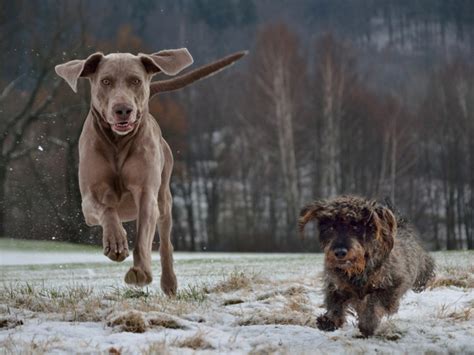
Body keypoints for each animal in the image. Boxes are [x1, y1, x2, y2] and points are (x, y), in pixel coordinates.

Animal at [56, 49, 246, 294]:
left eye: (135, 81)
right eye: (105, 81)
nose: (123, 109)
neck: (117, 142)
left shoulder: (147, 193)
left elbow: (144, 237)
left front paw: (141, 272)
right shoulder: (89, 200)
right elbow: (106, 209)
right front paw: (116, 242)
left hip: (165, 198)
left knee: (165, 242)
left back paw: (169, 282)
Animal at [298, 196, 436, 338]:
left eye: (355, 227)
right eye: (331, 227)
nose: (340, 252)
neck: (357, 269)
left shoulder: (392, 285)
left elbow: (373, 302)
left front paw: (367, 324)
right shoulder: (336, 284)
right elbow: (335, 302)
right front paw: (329, 320)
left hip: (420, 262)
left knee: (426, 266)